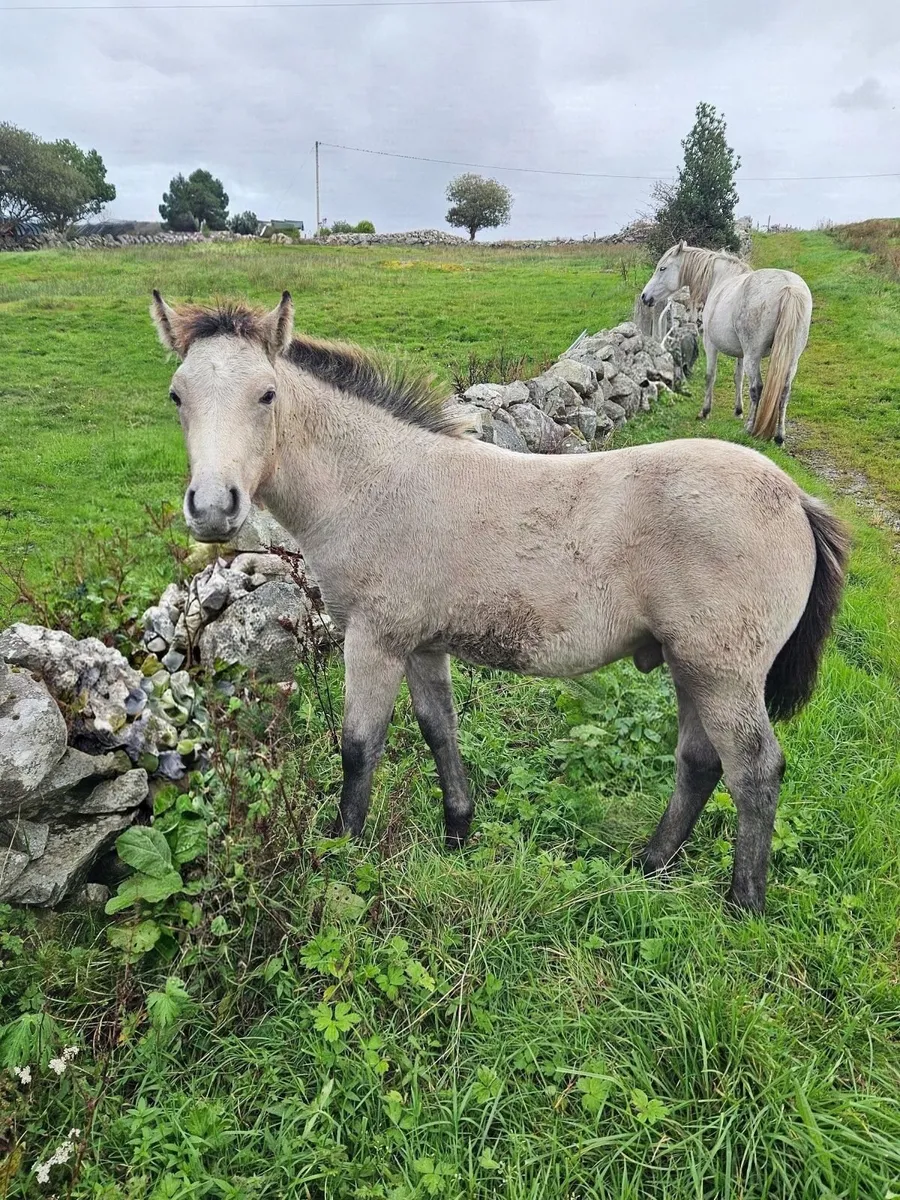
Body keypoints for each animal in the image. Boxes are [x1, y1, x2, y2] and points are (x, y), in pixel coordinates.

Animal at [150, 290, 847, 913]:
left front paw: (340, 855)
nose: (212, 508)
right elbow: (439, 730)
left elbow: (358, 746)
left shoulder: (374, 639)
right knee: (700, 762)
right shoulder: (421, 645)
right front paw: (458, 832)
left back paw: (743, 905)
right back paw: (650, 864)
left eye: (266, 394)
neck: (374, 484)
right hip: (691, 665)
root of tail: (795, 500)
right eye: (177, 395)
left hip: (722, 671)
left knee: (754, 771)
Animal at [640, 242, 813, 445]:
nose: (645, 296)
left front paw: (705, 411)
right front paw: (738, 410)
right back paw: (779, 437)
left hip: (753, 356)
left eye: (662, 268)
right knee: (785, 391)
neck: (720, 279)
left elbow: (710, 376)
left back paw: (750, 428)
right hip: (790, 358)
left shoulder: (710, 344)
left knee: (757, 388)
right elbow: (738, 377)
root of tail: (788, 287)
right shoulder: (741, 354)